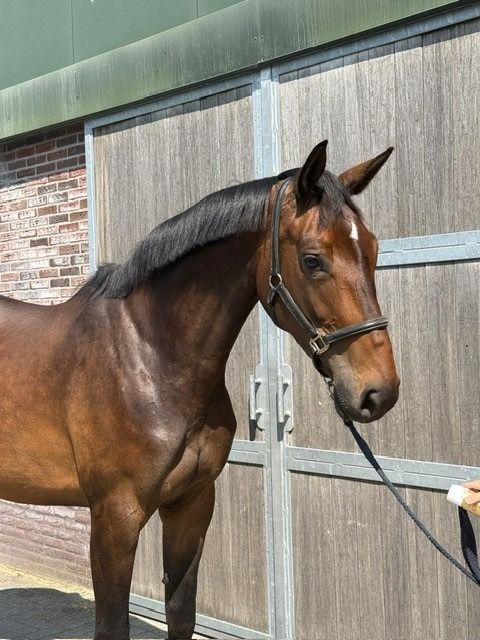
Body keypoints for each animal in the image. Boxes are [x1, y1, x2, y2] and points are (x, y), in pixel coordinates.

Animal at [0, 140, 399, 640]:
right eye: (312, 259)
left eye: (374, 249)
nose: (379, 391)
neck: (151, 356)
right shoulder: (115, 517)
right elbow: (112, 625)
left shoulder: (191, 505)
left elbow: (181, 613)